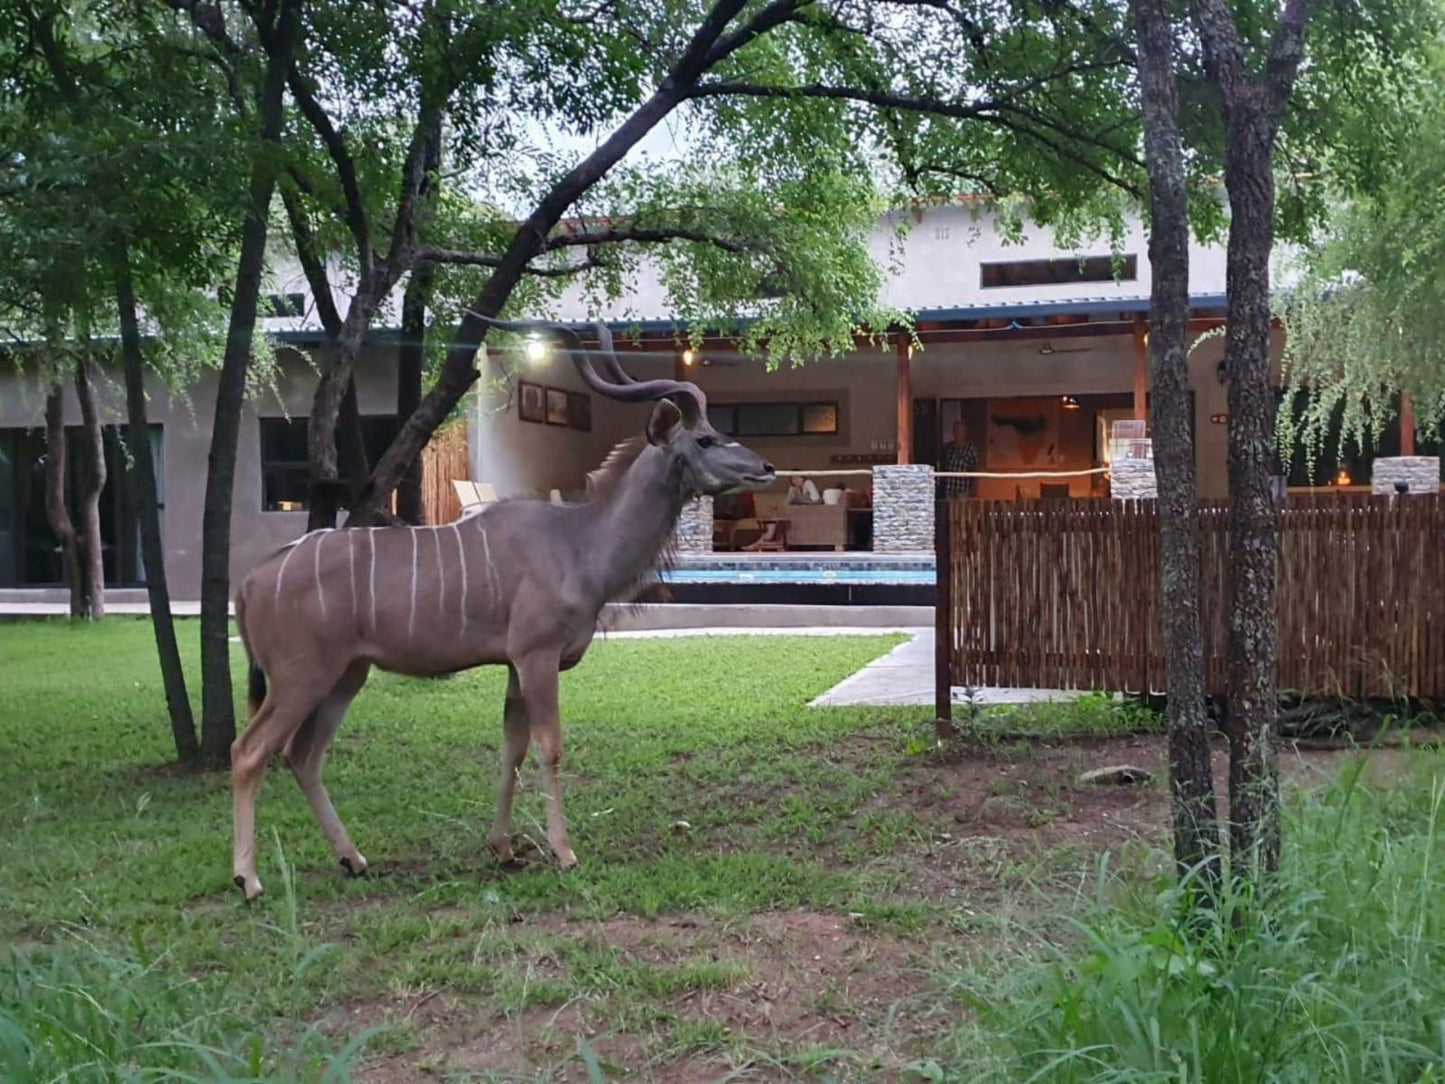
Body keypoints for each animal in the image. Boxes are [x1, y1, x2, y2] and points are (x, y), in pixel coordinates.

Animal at [234, 313, 780, 901]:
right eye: (705, 438)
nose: (766, 467)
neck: (580, 542)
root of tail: (251, 581)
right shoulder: (537, 657)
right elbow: (550, 746)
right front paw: (563, 852)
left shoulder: (515, 666)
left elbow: (511, 749)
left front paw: (503, 849)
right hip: (300, 676)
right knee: (250, 751)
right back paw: (250, 879)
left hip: (347, 674)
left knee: (303, 755)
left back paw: (353, 859)